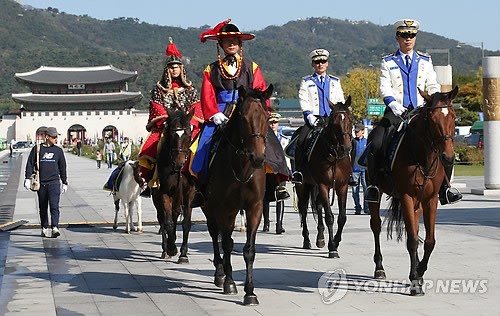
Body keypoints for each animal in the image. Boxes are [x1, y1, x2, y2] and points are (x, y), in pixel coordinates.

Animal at [150, 108, 195, 264]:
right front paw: (171, 248)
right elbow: (167, 222)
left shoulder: (189, 193)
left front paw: (183, 254)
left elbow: (186, 223)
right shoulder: (164, 192)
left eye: (188, 135)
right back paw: (166, 249)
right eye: (171, 135)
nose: (179, 164)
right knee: (162, 219)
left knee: (174, 215)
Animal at [202, 84, 274, 306]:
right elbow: (226, 243)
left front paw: (250, 292)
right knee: (215, 235)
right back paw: (220, 273)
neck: (242, 167)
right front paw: (230, 282)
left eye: (266, 116)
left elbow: (249, 250)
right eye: (243, 117)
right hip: (209, 207)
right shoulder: (224, 207)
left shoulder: (254, 207)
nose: (257, 157)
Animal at [294, 97, 354, 258]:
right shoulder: (323, 185)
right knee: (303, 209)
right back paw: (307, 240)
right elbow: (329, 217)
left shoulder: (342, 186)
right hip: (302, 184)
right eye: (334, 122)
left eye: (350, 120)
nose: (346, 148)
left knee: (318, 205)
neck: (334, 155)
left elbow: (342, 217)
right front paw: (332, 247)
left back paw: (320, 238)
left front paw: (336, 241)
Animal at [368, 86, 458, 294]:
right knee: (376, 226)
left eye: (453, 116)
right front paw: (416, 280)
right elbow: (412, 240)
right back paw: (379, 268)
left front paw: (419, 272)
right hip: (377, 195)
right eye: (432, 118)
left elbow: (428, 240)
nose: (448, 156)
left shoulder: (430, 199)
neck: (423, 157)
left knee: (415, 230)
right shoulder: (407, 196)